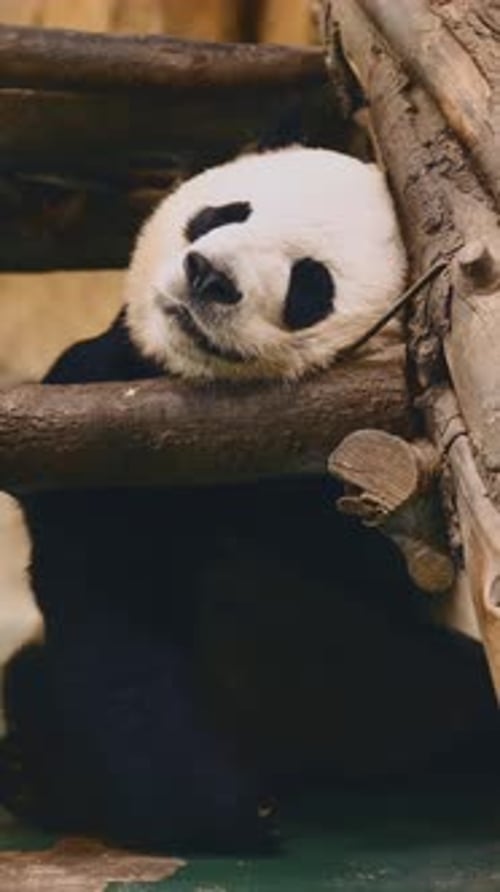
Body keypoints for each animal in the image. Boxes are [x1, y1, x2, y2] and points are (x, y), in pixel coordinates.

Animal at [1, 146, 498, 853]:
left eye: (310, 286)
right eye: (226, 213)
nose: (208, 276)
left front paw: (213, 812)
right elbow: (107, 589)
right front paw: (206, 807)